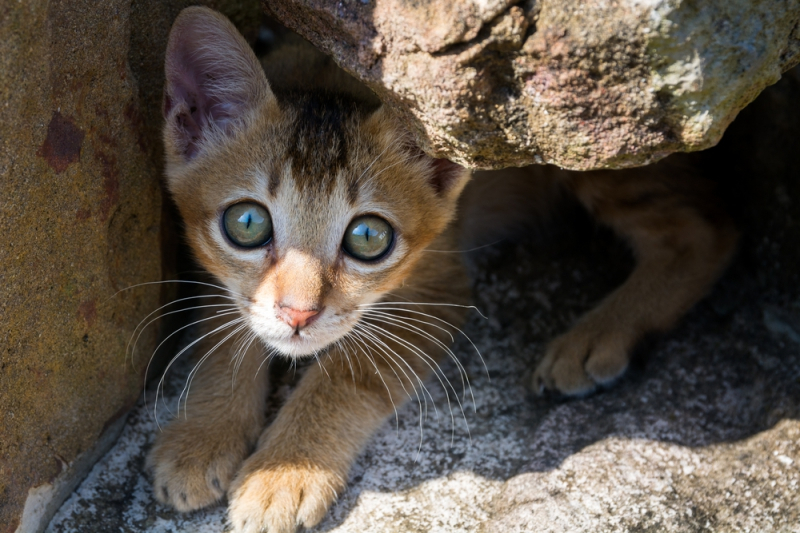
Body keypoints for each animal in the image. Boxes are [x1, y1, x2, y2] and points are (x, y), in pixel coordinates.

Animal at [148, 6, 736, 528]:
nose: (298, 315)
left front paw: (283, 472)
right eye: (247, 224)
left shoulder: (438, 286)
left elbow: (347, 374)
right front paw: (202, 437)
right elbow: (224, 330)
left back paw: (596, 337)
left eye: (368, 237)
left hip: (596, 148)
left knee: (707, 232)